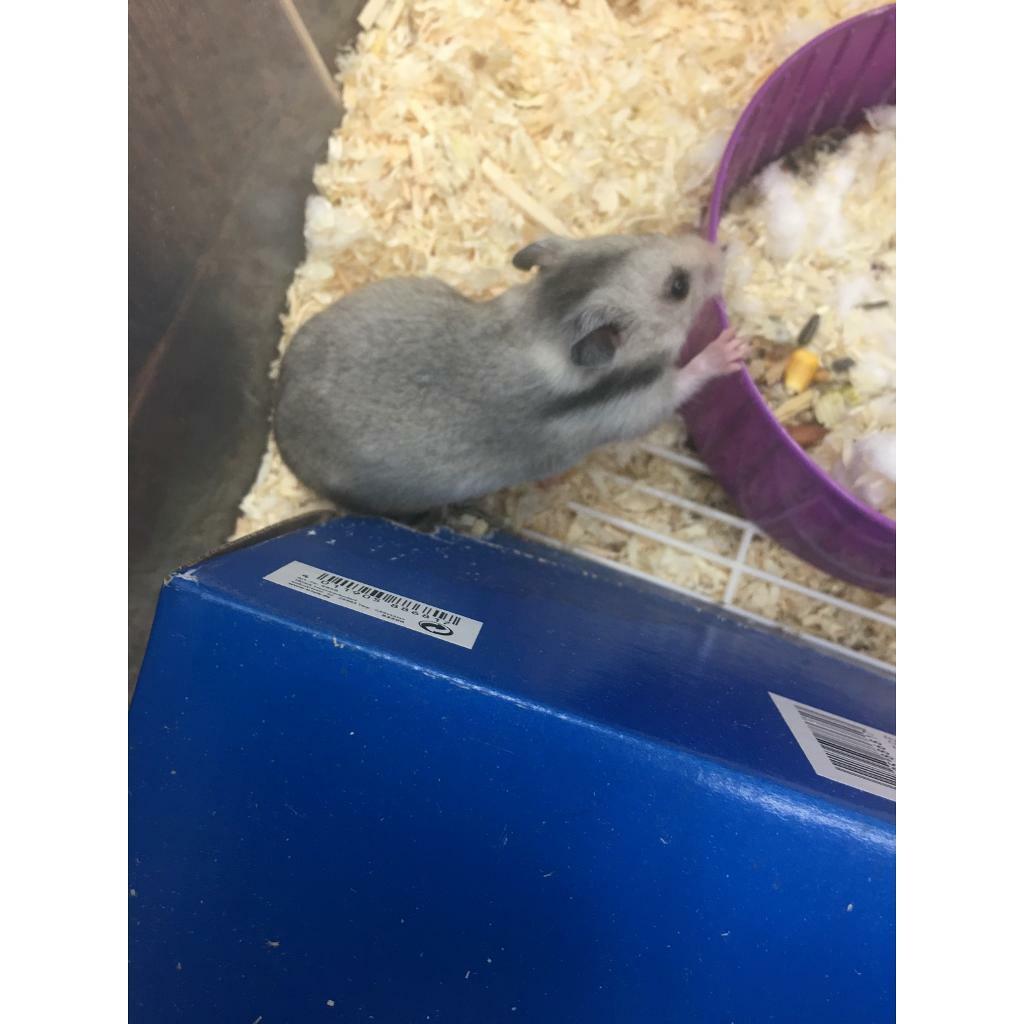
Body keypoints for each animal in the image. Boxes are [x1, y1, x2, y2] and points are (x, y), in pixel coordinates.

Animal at [274, 232, 747, 516]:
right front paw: (731, 348)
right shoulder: (633, 407)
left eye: (642, 236)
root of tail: (279, 430)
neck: (545, 324)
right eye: (678, 287)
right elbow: (682, 380)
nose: (724, 247)